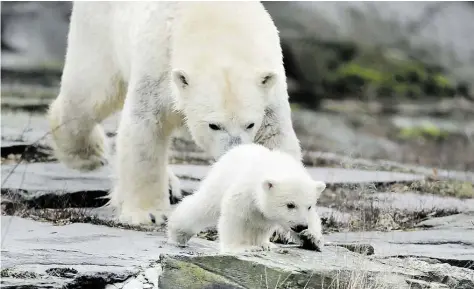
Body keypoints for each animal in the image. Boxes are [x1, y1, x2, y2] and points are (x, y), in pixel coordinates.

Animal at [47, 1, 300, 224]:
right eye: (214, 125)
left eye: (250, 124)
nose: (233, 154)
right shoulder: (158, 64)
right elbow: (145, 126)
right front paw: (148, 214)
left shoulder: (270, 88)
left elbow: (275, 137)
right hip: (100, 32)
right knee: (91, 94)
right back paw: (88, 153)